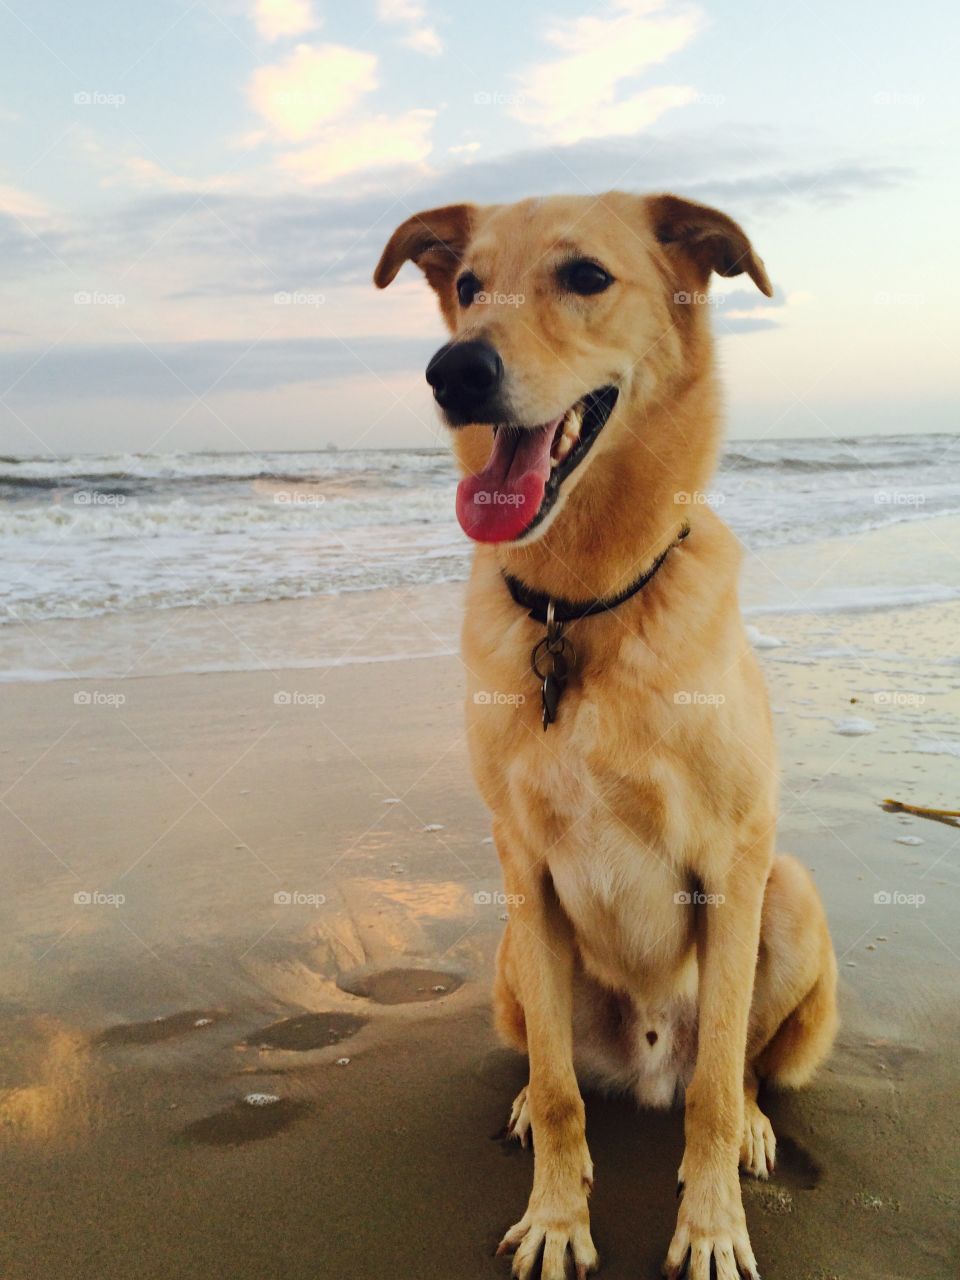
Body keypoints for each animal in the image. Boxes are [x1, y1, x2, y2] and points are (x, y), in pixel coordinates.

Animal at [376, 192, 834, 1280]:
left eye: (585, 276)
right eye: (467, 286)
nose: (455, 372)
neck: (578, 608)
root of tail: (647, 1058)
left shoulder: (733, 861)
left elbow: (716, 1090)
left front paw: (710, 1226)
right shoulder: (528, 869)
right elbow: (556, 1087)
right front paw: (556, 1214)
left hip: (786, 894)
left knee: (733, 1066)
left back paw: (751, 1125)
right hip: (512, 951)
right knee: (563, 1065)